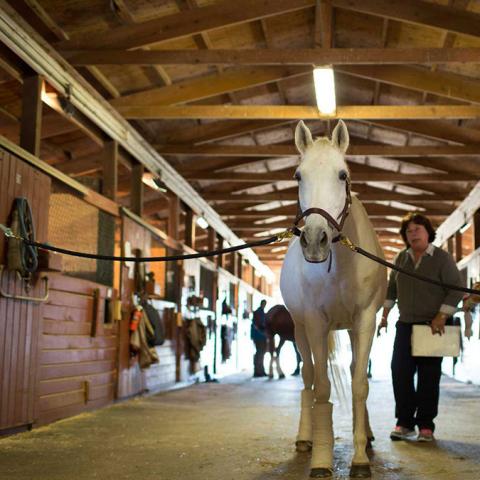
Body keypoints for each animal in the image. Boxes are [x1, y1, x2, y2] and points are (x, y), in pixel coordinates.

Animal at [282, 119, 386, 476]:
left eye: (342, 175)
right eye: (298, 176)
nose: (315, 240)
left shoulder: (365, 321)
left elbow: (359, 385)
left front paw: (360, 458)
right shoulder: (315, 323)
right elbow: (322, 389)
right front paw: (322, 460)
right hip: (300, 331)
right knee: (308, 379)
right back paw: (304, 438)